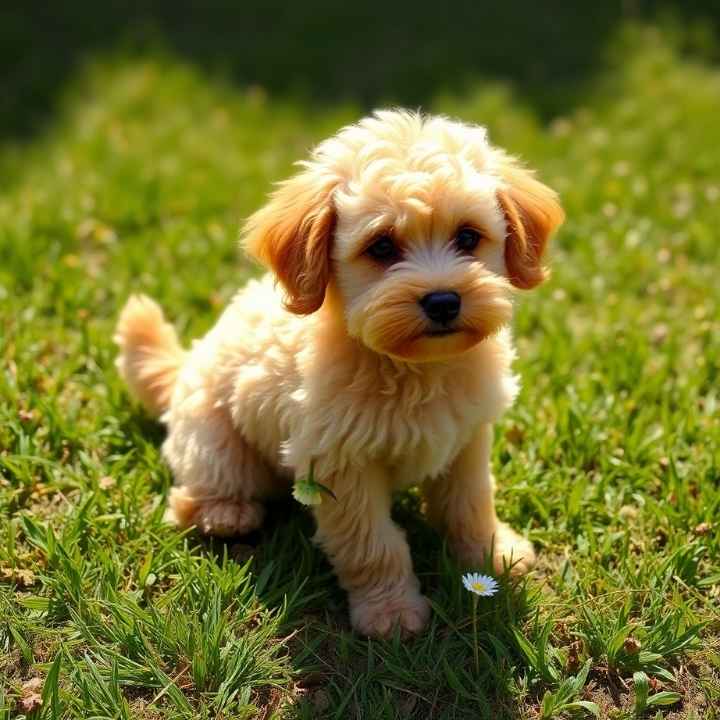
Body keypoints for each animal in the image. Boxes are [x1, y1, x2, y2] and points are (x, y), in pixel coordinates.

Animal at [115, 109, 564, 640]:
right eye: (382, 247)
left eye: (469, 237)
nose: (442, 301)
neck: (414, 368)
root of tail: (187, 366)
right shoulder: (340, 465)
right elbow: (372, 543)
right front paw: (390, 613)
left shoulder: (468, 438)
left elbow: (470, 502)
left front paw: (493, 554)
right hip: (212, 438)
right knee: (196, 490)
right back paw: (225, 512)